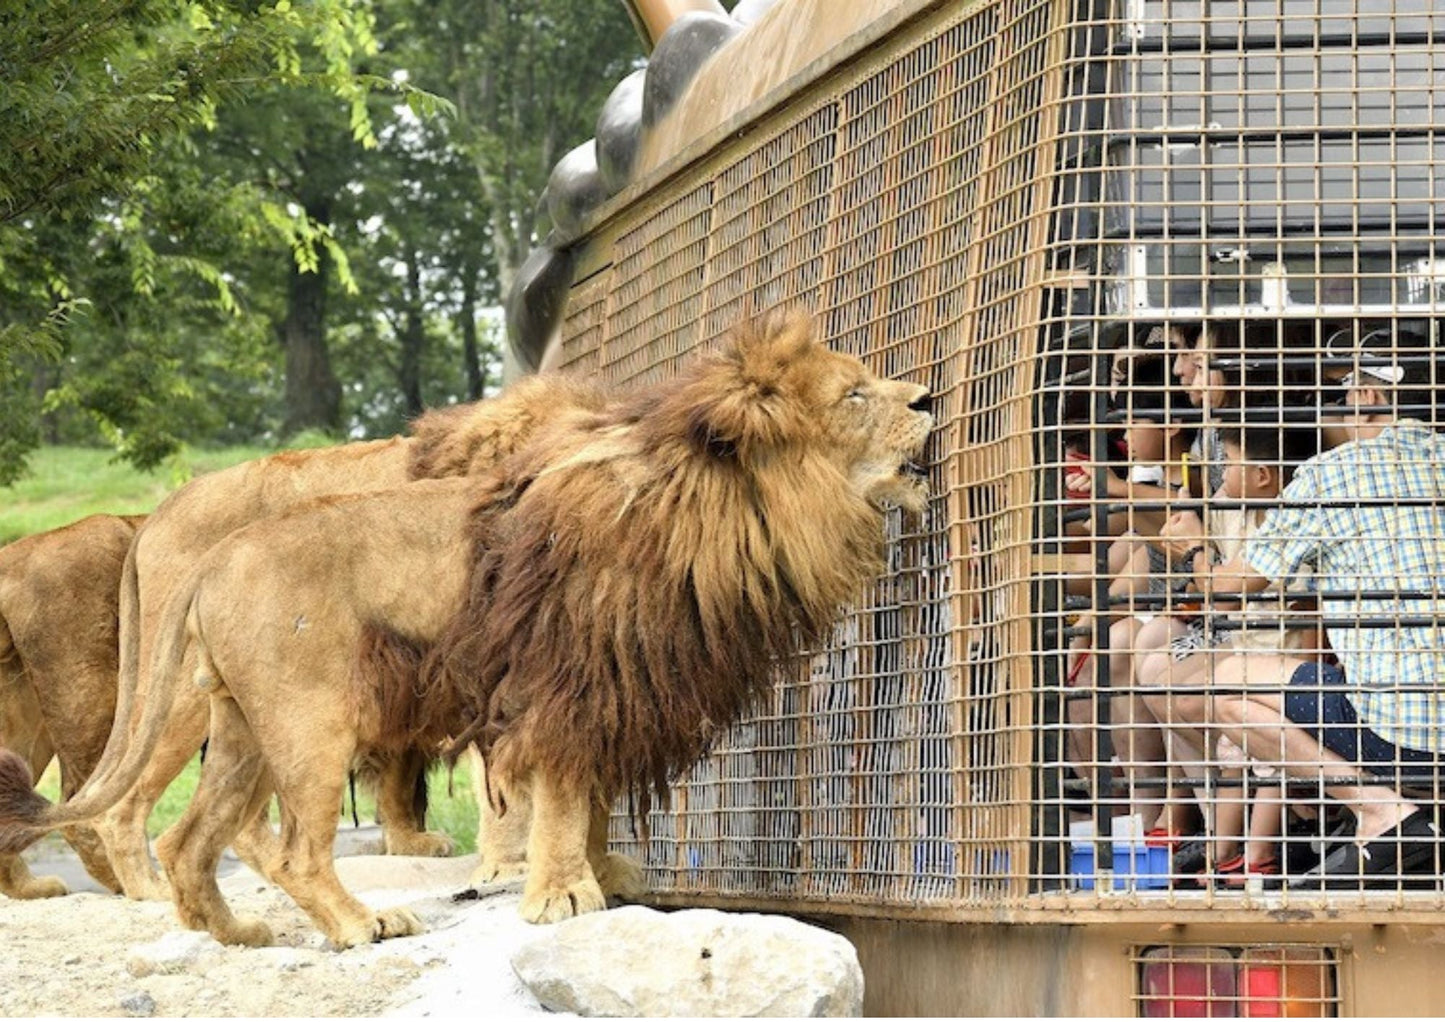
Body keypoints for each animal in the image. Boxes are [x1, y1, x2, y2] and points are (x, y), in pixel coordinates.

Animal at [93, 372, 604, 896]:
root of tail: (159, 514)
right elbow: (497, 781)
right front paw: (508, 865)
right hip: (186, 693)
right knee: (117, 807)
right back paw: (152, 892)